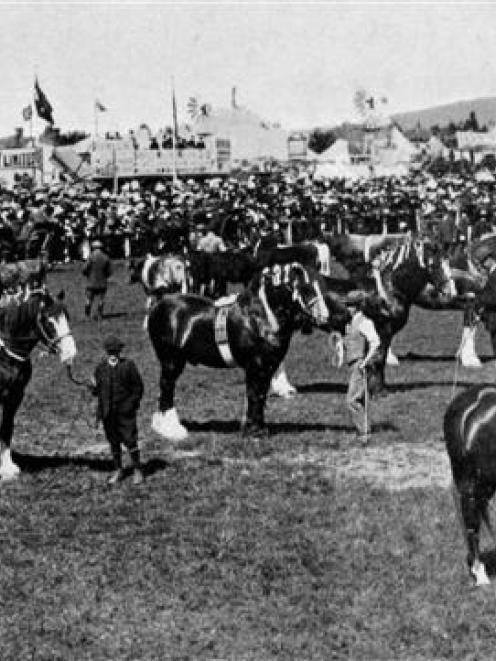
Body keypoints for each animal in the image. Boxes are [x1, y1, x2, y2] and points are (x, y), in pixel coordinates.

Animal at [0, 288, 76, 480]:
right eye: (49, 321)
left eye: (67, 316)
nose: (70, 353)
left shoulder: (15, 395)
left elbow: (7, 427)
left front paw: (8, 467)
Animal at [146, 262, 330, 438]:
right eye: (305, 287)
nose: (325, 316)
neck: (258, 318)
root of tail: (161, 301)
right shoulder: (256, 367)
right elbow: (254, 394)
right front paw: (254, 431)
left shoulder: (268, 367)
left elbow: (261, 395)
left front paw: (259, 428)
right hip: (171, 361)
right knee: (167, 388)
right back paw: (171, 429)